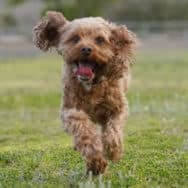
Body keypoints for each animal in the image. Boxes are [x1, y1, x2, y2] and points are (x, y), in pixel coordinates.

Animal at [33, 11, 137, 174]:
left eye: (100, 40)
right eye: (75, 38)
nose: (86, 49)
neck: (91, 84)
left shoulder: (118, 107)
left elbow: (114, 129)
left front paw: (113, 150)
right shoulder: (70, 110)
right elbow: (84, 130)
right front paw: (96, 161)